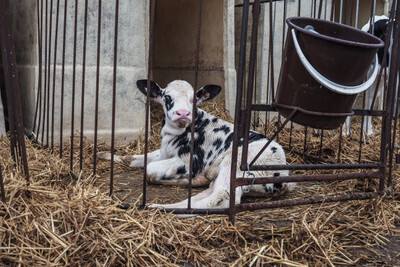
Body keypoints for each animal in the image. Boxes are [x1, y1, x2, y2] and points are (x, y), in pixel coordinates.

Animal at [99, 80, 296, 210]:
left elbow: (149, 170)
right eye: (167, 96)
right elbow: (135, 159)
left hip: (235, 162)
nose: (183, 113)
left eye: (194, 99)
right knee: (210, 190)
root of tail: (284, 175)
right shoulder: (165, 152)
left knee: (222, 197)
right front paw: (104, 155)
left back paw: (161, 207)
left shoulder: (190, 160)